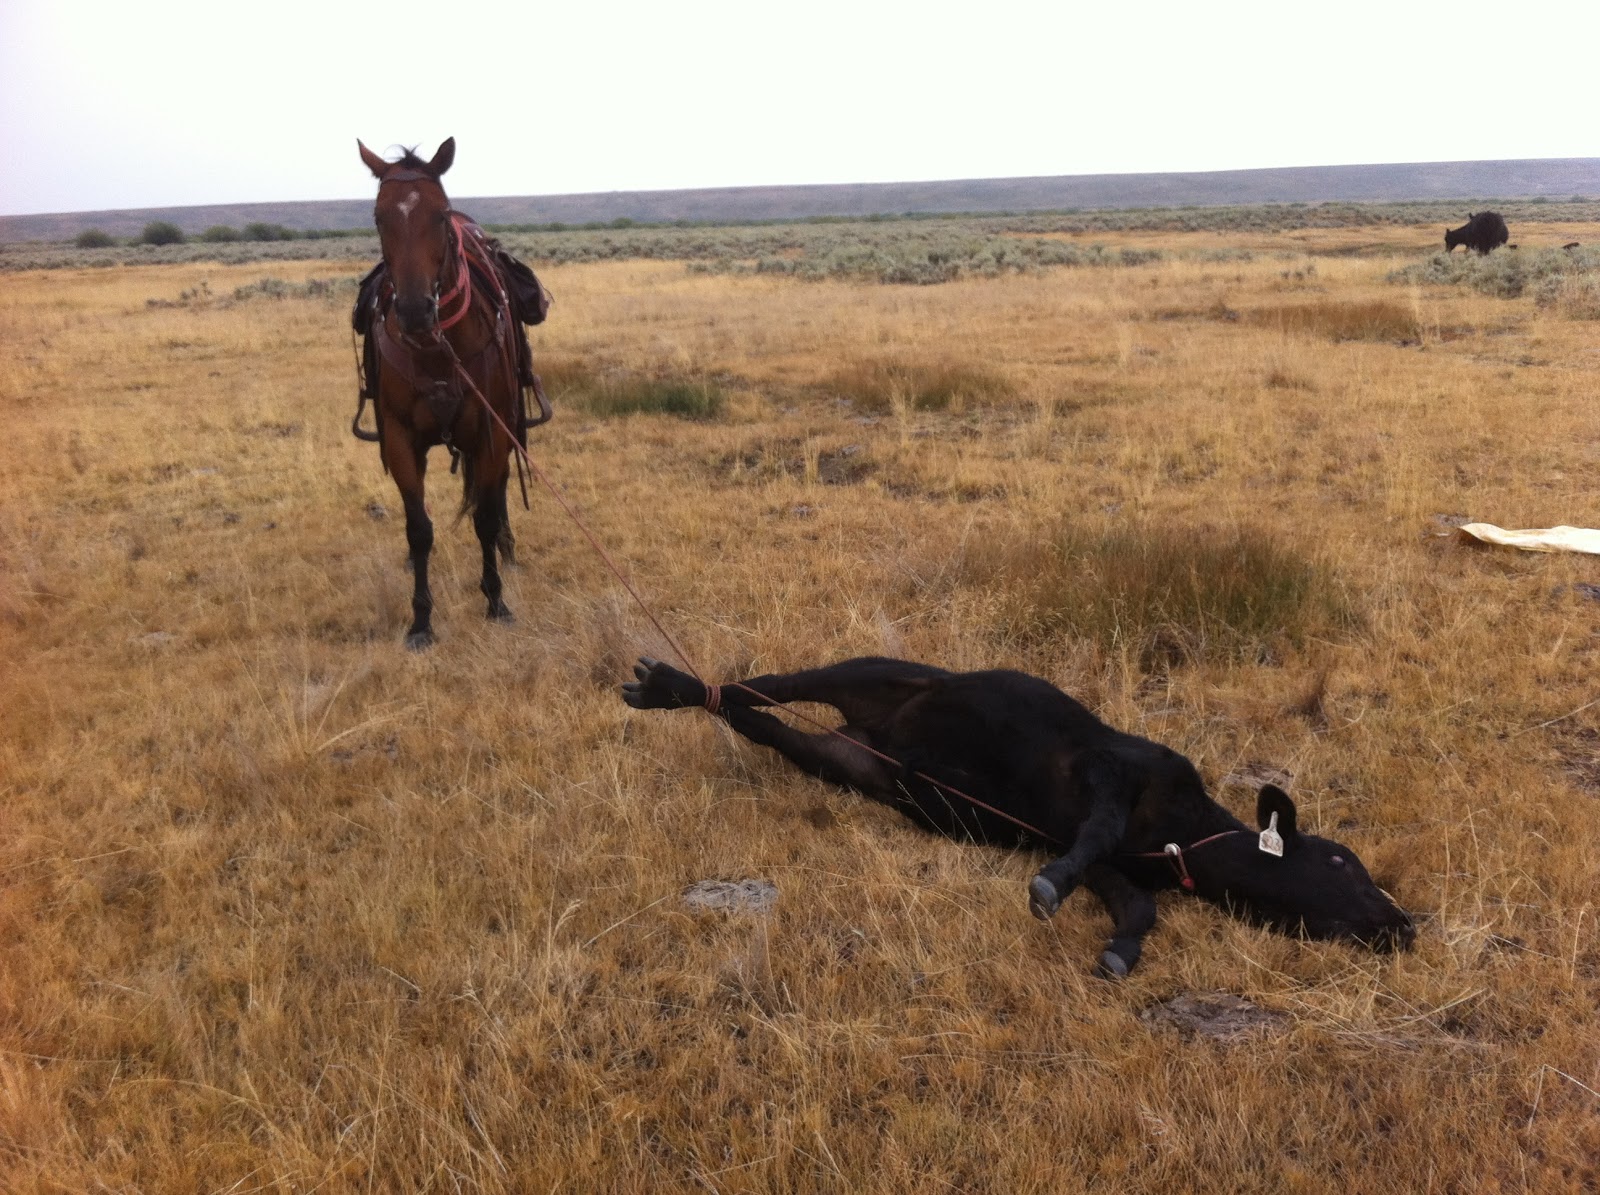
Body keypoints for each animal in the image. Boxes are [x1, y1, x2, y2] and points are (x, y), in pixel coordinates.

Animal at [623, 656, 1416, 977]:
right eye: (1340, 860)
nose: (1403, 925)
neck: (1182, 834)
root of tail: (879, 731)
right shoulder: (1108, 770)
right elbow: (1093, 833)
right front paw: (1046, 887)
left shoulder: (1116, 871)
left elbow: (1136, 909)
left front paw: (1119, 953)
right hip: (858, 670)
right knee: (764, 683)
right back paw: (666, 684)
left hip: (839, 760)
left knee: (759, 721)